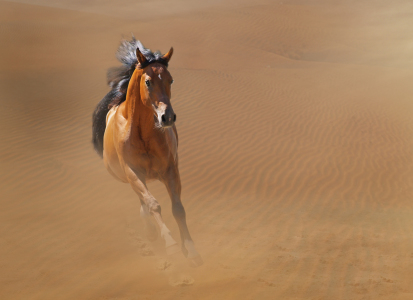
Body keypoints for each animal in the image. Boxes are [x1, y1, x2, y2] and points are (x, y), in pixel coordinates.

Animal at [93, 38, 203, 268]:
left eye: (171, 80)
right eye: (148, 82)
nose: (167, 117)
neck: (142, 133)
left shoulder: (171, 171)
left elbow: (178, 208)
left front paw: (190, 250)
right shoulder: (133, 172)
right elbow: (153, 204)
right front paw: (171, 244)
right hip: (129, 177)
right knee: (144, 201)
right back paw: (151, 232)